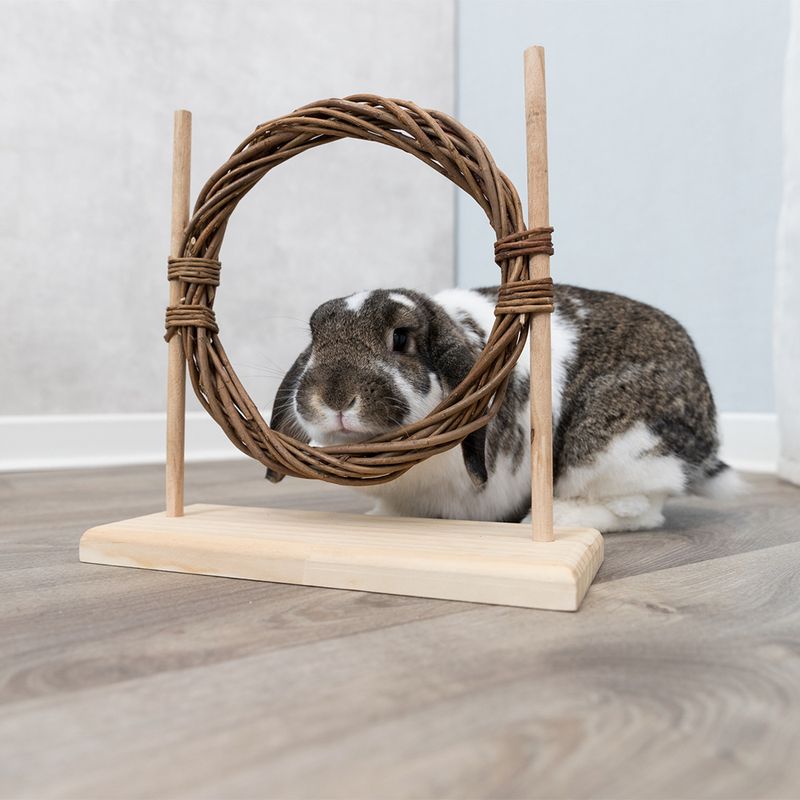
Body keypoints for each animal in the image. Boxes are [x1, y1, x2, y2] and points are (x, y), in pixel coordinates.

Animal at [267, 285, 740, 532]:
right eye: (315, 338)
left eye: (401, 338)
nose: (334, 397)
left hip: (616, 449)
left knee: (638, 508)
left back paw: (554, 518)